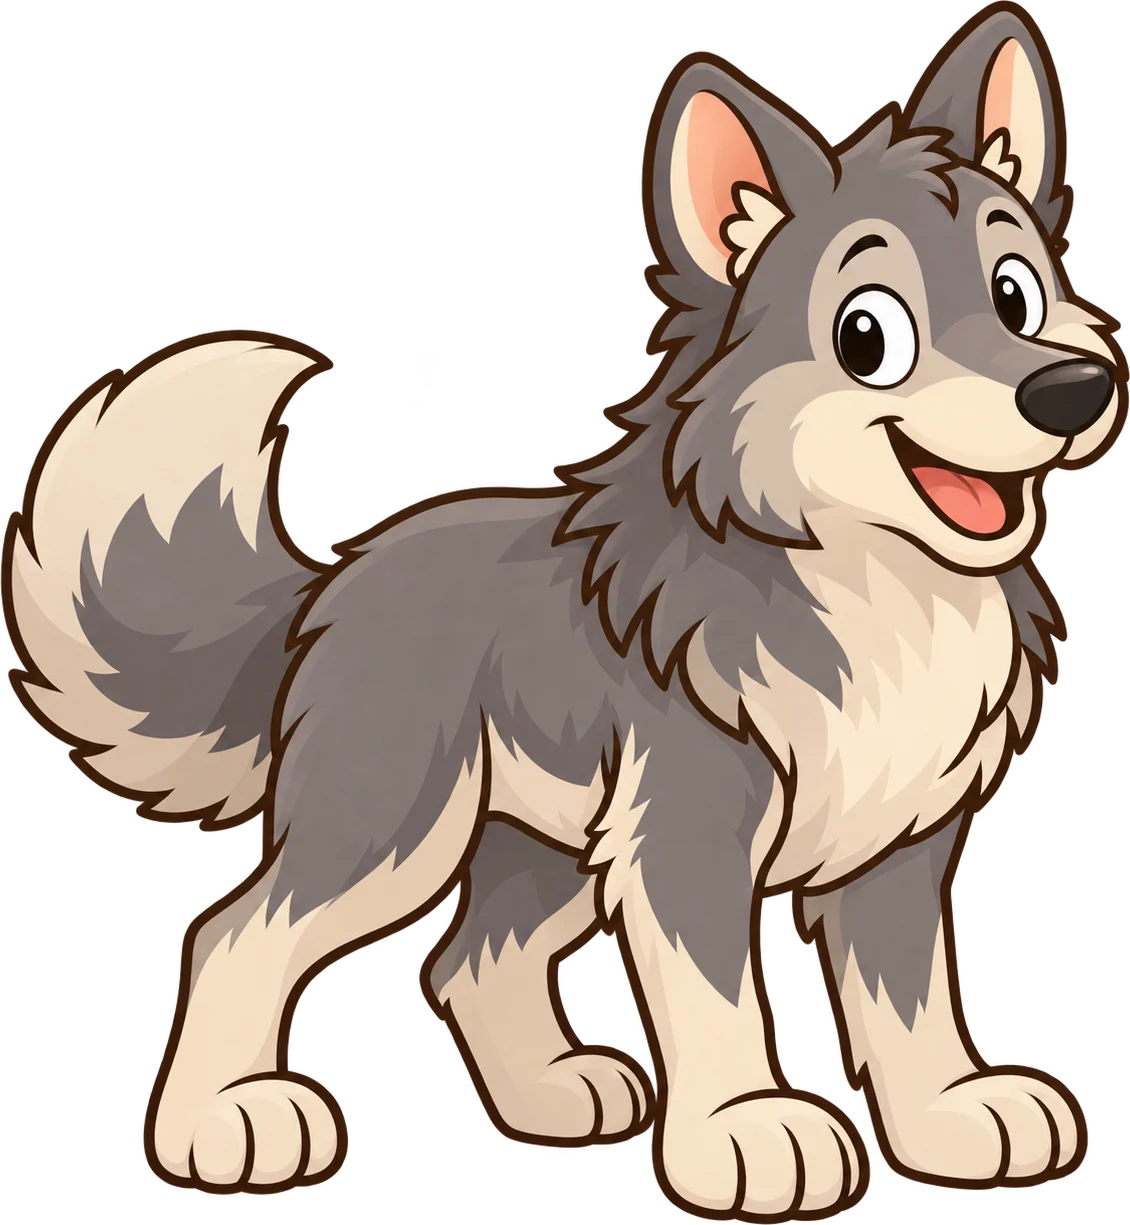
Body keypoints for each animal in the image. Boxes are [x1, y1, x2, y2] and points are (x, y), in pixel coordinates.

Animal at [2, 3, 1123, 1217]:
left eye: (1018, 292)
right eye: (868, 336)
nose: (1070, 390)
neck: (871, 581)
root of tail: (335, 579)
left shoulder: (897, 841)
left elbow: (909, 1002)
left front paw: (949, 1120)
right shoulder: (685, 832)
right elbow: (720, 997)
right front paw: (747, 1131)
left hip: (551, 847)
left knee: (466, 960)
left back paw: (548, 1096)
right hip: (397, 827)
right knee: (233, 935)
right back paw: (225, 1127)